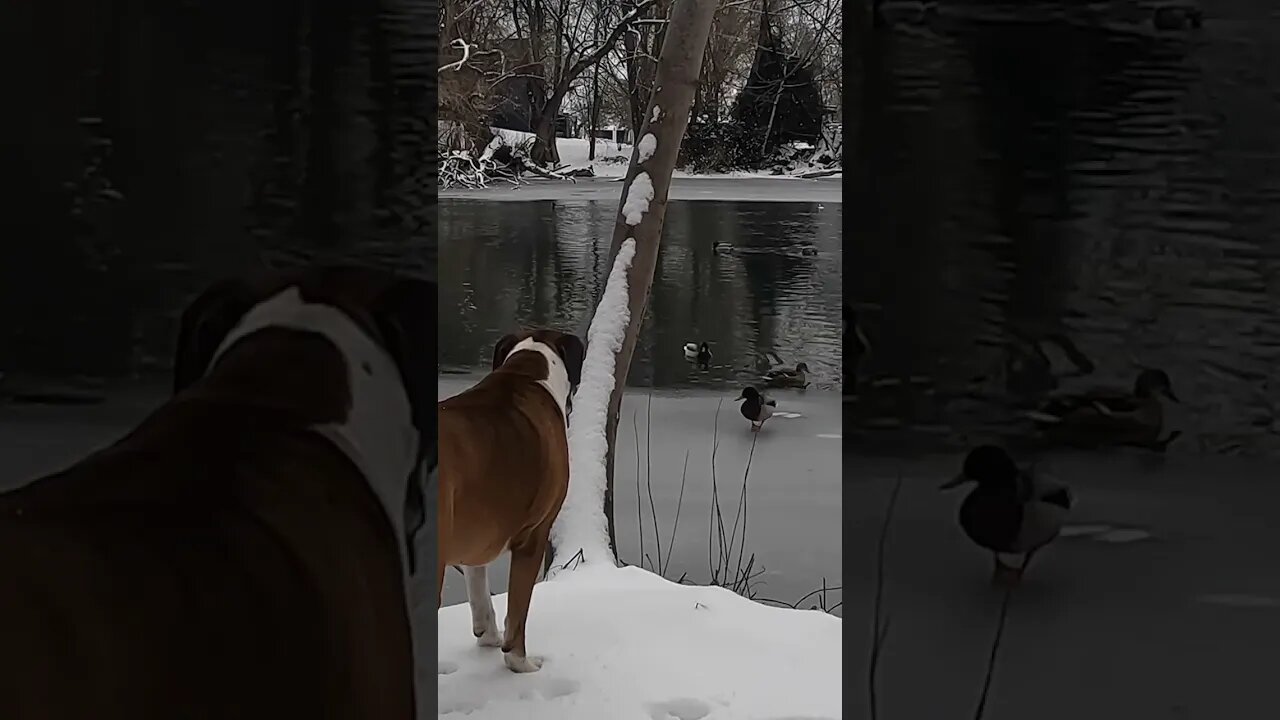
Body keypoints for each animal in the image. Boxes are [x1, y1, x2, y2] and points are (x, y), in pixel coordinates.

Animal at [437, 327, 583, 671]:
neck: (526, 374)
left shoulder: (475, 537)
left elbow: (479, 592)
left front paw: (488, 635)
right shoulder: (534, 536)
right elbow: (518, 612)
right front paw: (521, 663)